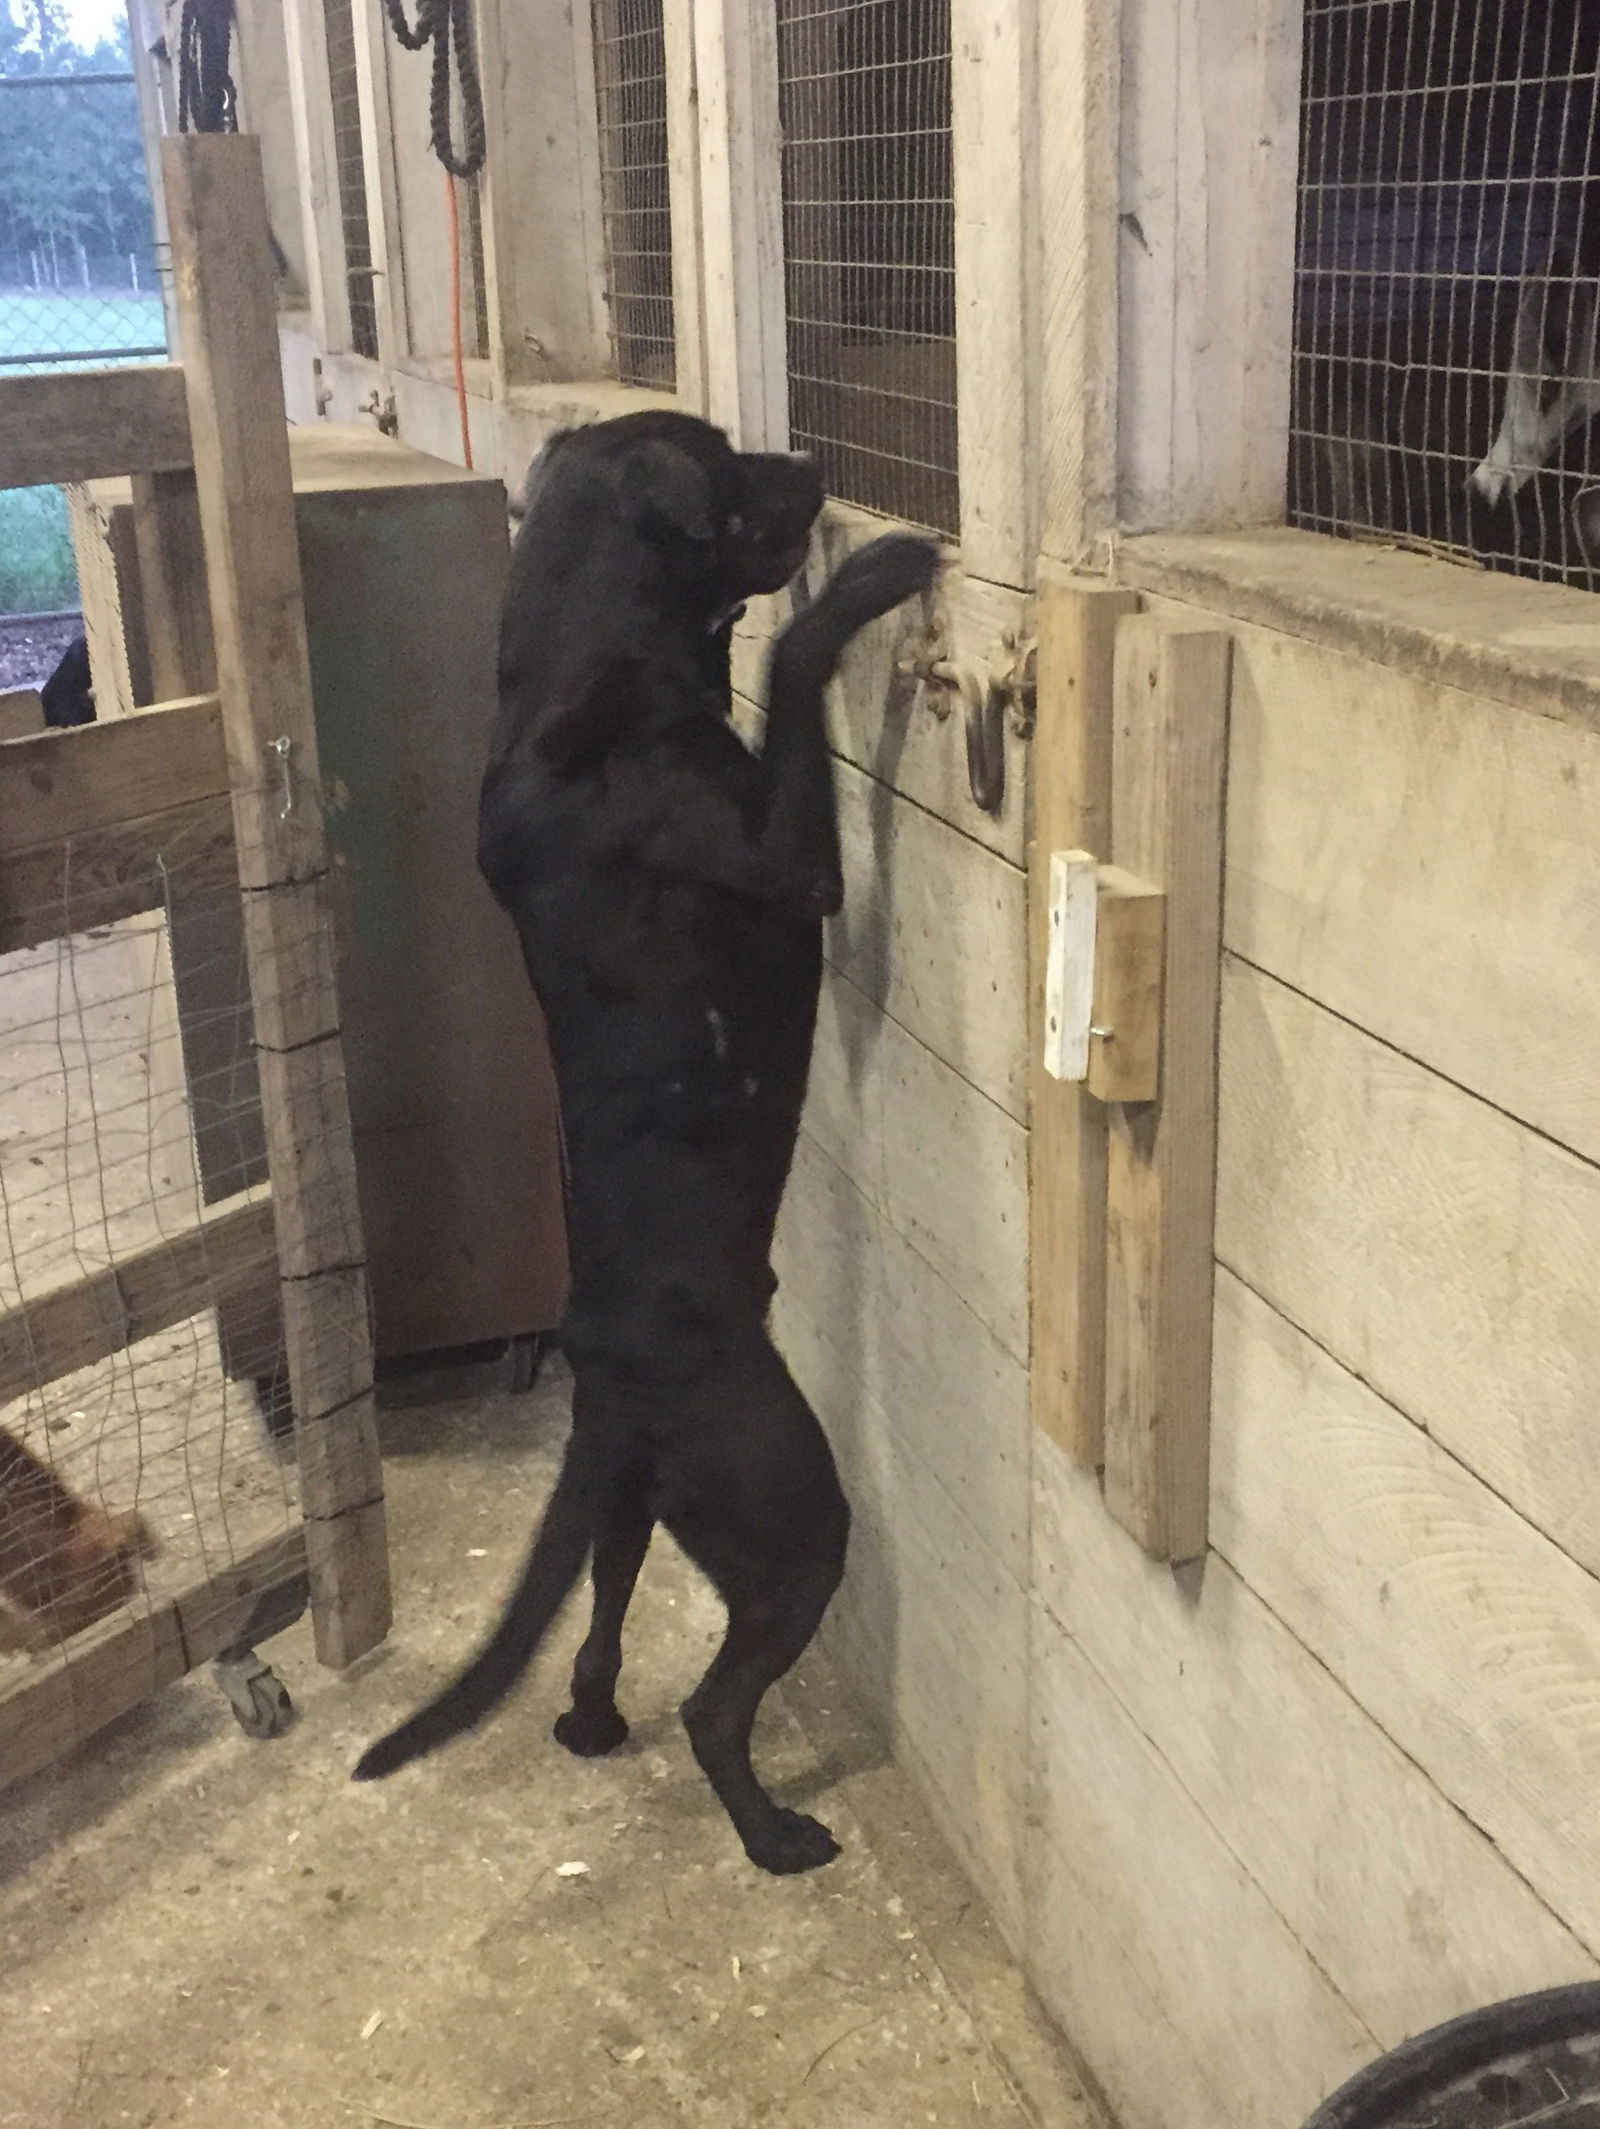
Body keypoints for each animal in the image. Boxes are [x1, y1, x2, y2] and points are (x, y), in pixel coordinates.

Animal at [353, 406, 936, 1873]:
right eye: (725, 465)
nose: (810, 465)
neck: (579, 681)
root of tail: (610, 1379)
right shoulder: (796, 865)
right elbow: (790, 660)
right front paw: (865, 582)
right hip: (793, 1519)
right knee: (715, 1707)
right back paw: (775, 1834)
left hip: (637, 1511)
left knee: (600, 1619)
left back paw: (589, 1721)